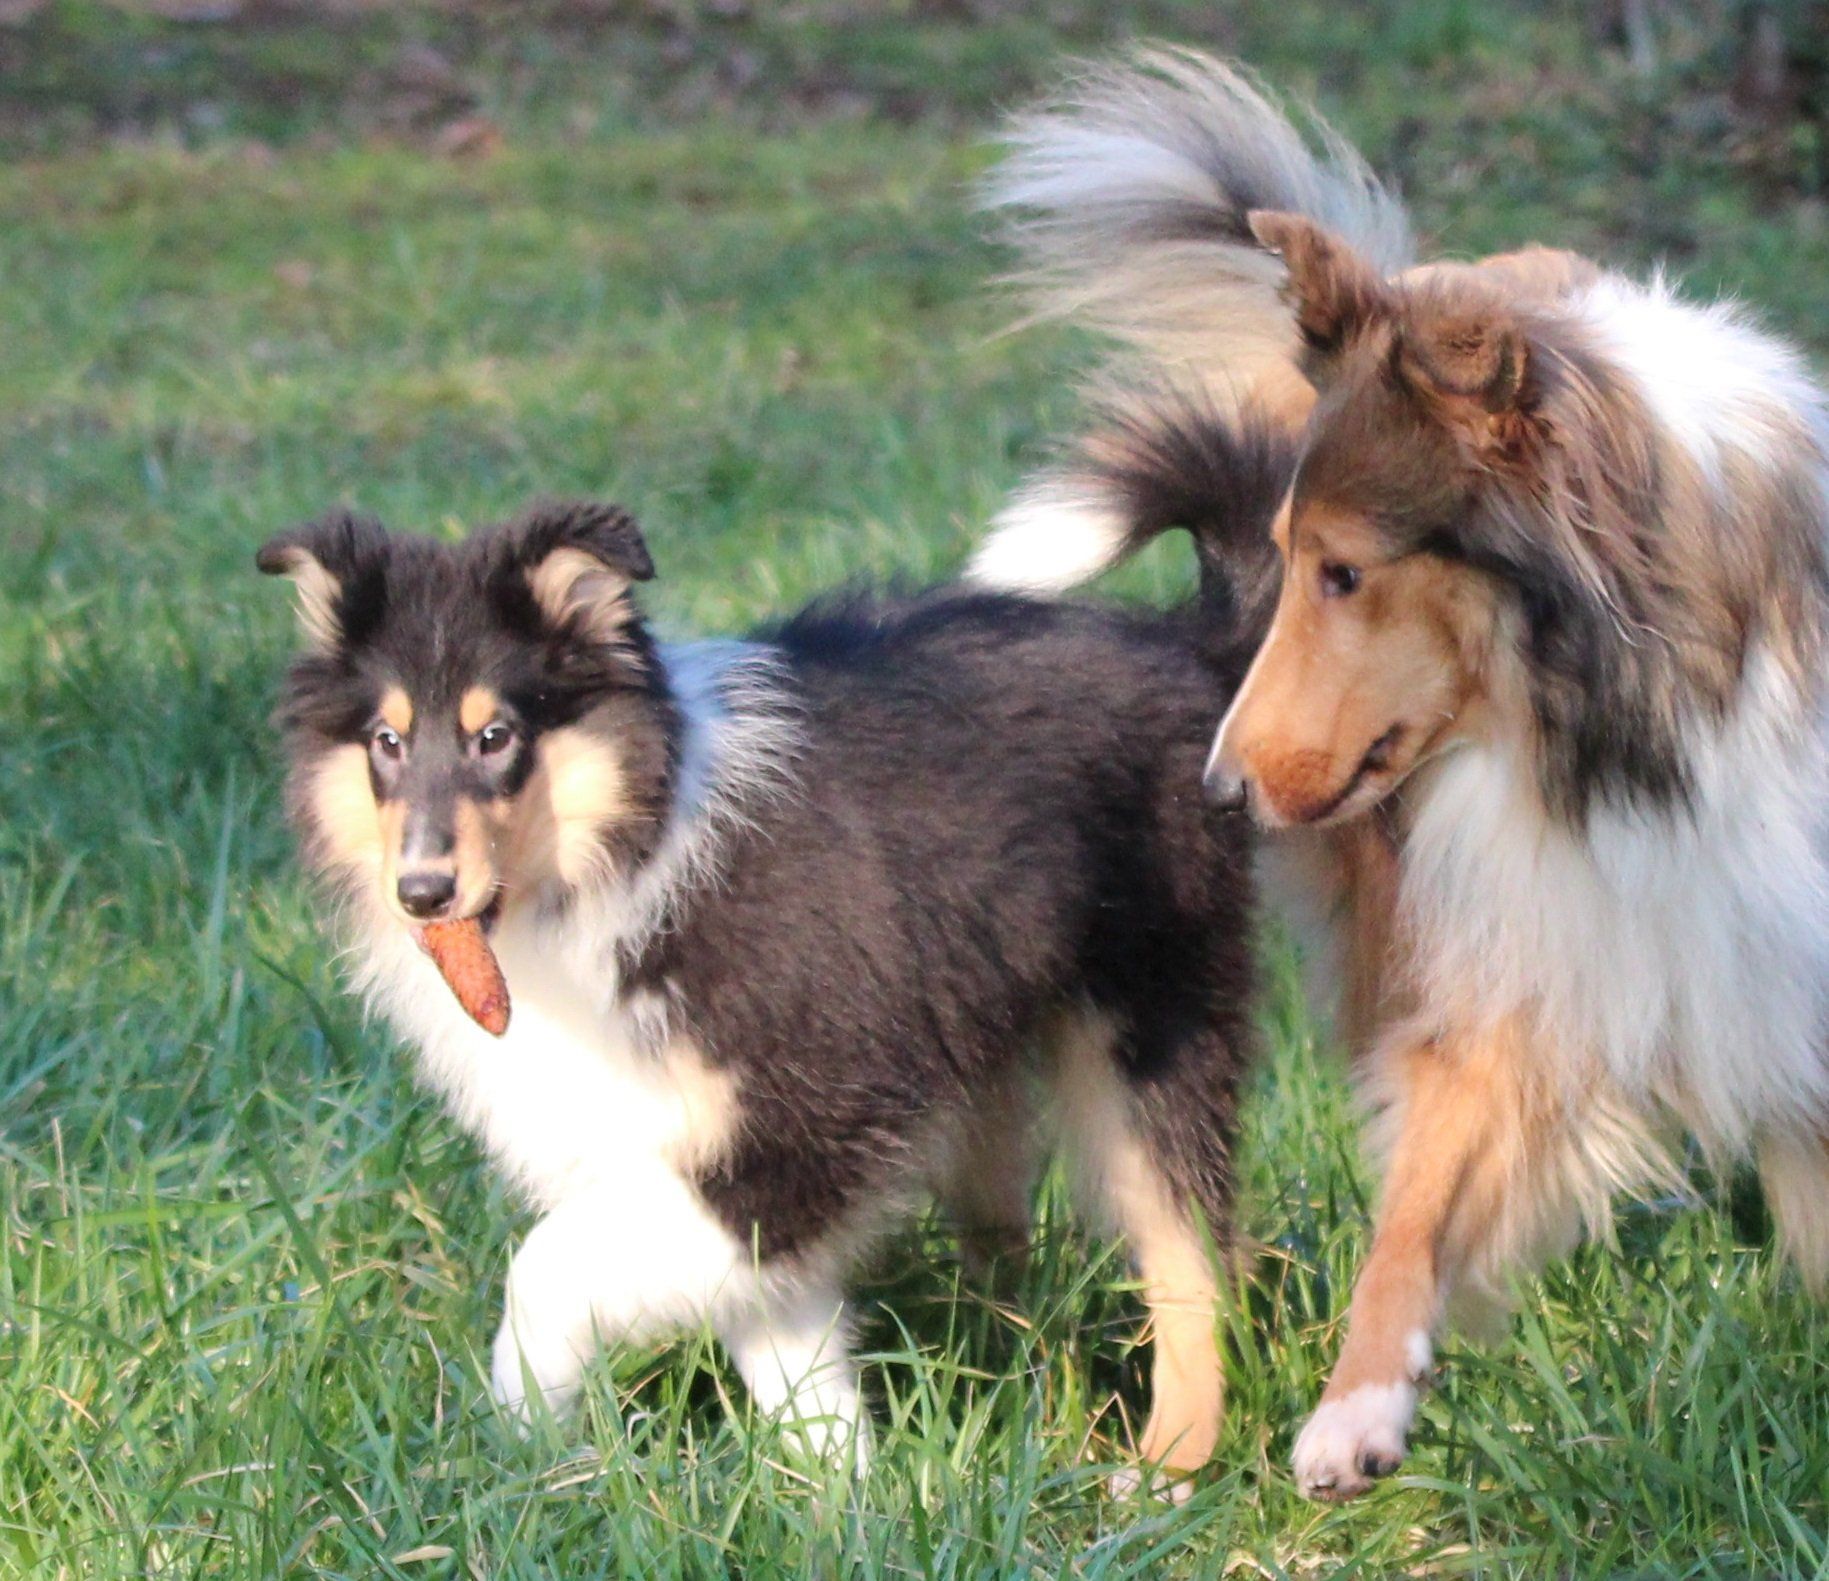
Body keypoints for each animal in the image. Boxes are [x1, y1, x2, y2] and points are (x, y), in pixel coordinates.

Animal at [257, 475, 1286, 1489]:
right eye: (386, 740)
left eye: (496, 734)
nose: (421, 893)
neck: (621, 857)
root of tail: (1186, 639)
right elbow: (794, 1357)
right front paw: (844, 1495)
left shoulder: (804, 1121)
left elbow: (547, 1269)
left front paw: (523, 1443)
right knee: (1010, 1235)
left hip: (1150, 1017)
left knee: (1192, 1253)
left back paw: (1168, 1465)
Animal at [967, 49, 1829, 1500]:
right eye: (1290, 560)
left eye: (1345, 571)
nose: (1214, 792)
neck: (1626, 726)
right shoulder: (1506, 948)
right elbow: (1417, 1203)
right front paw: (1352, 1413)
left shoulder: (1771, 952)